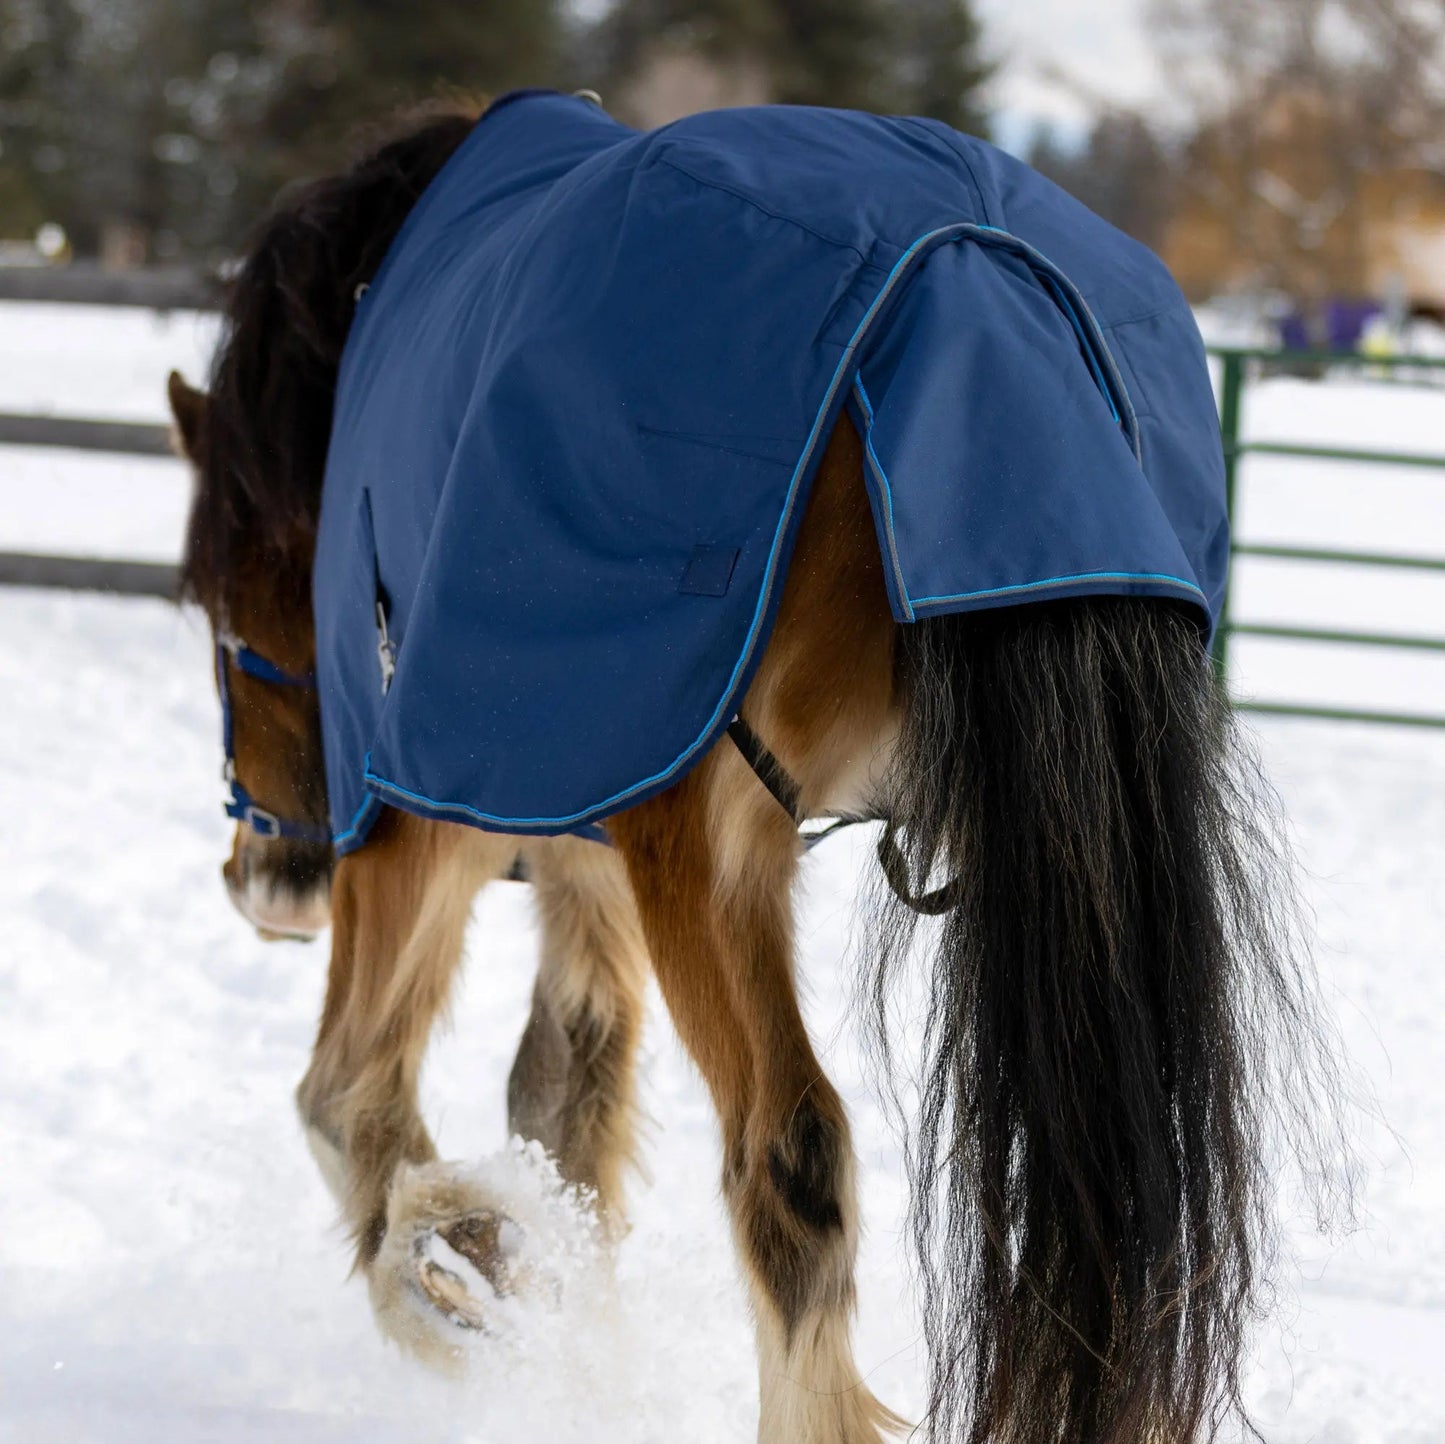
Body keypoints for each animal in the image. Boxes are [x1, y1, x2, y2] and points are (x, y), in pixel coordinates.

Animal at [169, 95, 1342, 1444]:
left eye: (224, 611)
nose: (270, 884)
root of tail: (983, 281)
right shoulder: (583, 831)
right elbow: (563, 1099)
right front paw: (548, 1320)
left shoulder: (433, 809)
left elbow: (347, 1093)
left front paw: (455, 1269)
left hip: (703, 851)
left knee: (786, 1153)